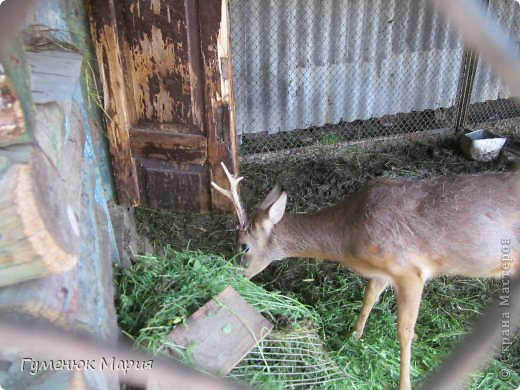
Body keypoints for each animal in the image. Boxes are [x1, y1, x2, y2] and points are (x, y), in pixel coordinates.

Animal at [209, 162, 516, 390]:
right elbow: (368, 299)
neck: (349, 236)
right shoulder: (382, 273)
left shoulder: (410, 271)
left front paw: (404, 383)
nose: (230, 275)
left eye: (244, 246)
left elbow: (405, 332)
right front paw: (353, 336)